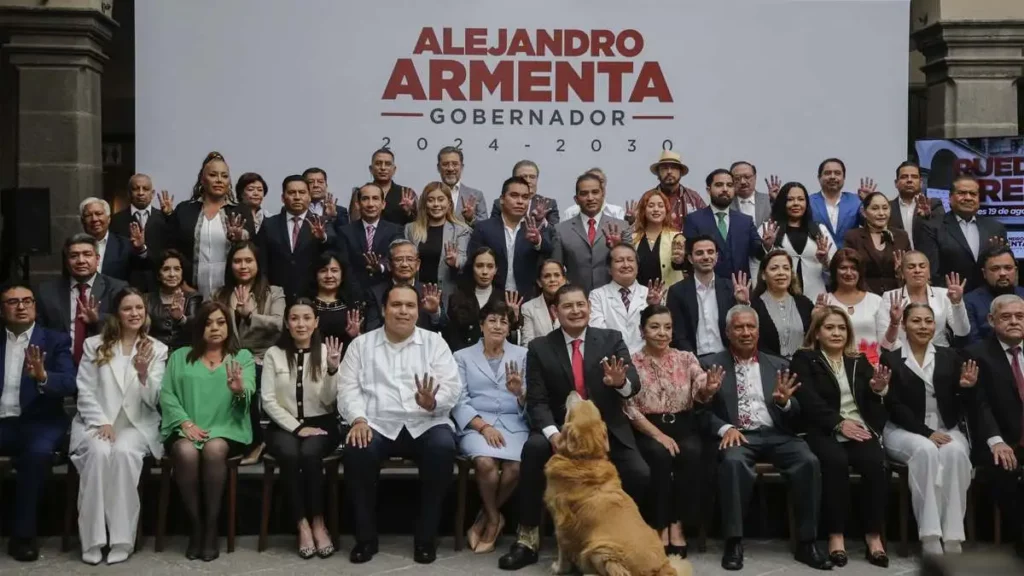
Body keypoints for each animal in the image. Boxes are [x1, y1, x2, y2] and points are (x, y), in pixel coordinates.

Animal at [540, 393, 692, 573]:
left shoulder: (561, 522)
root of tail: (662, 568)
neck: (585, 459)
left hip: (601, 550)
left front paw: (558, 568)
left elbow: (562, 552)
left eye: (576, 405)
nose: (574, 393)